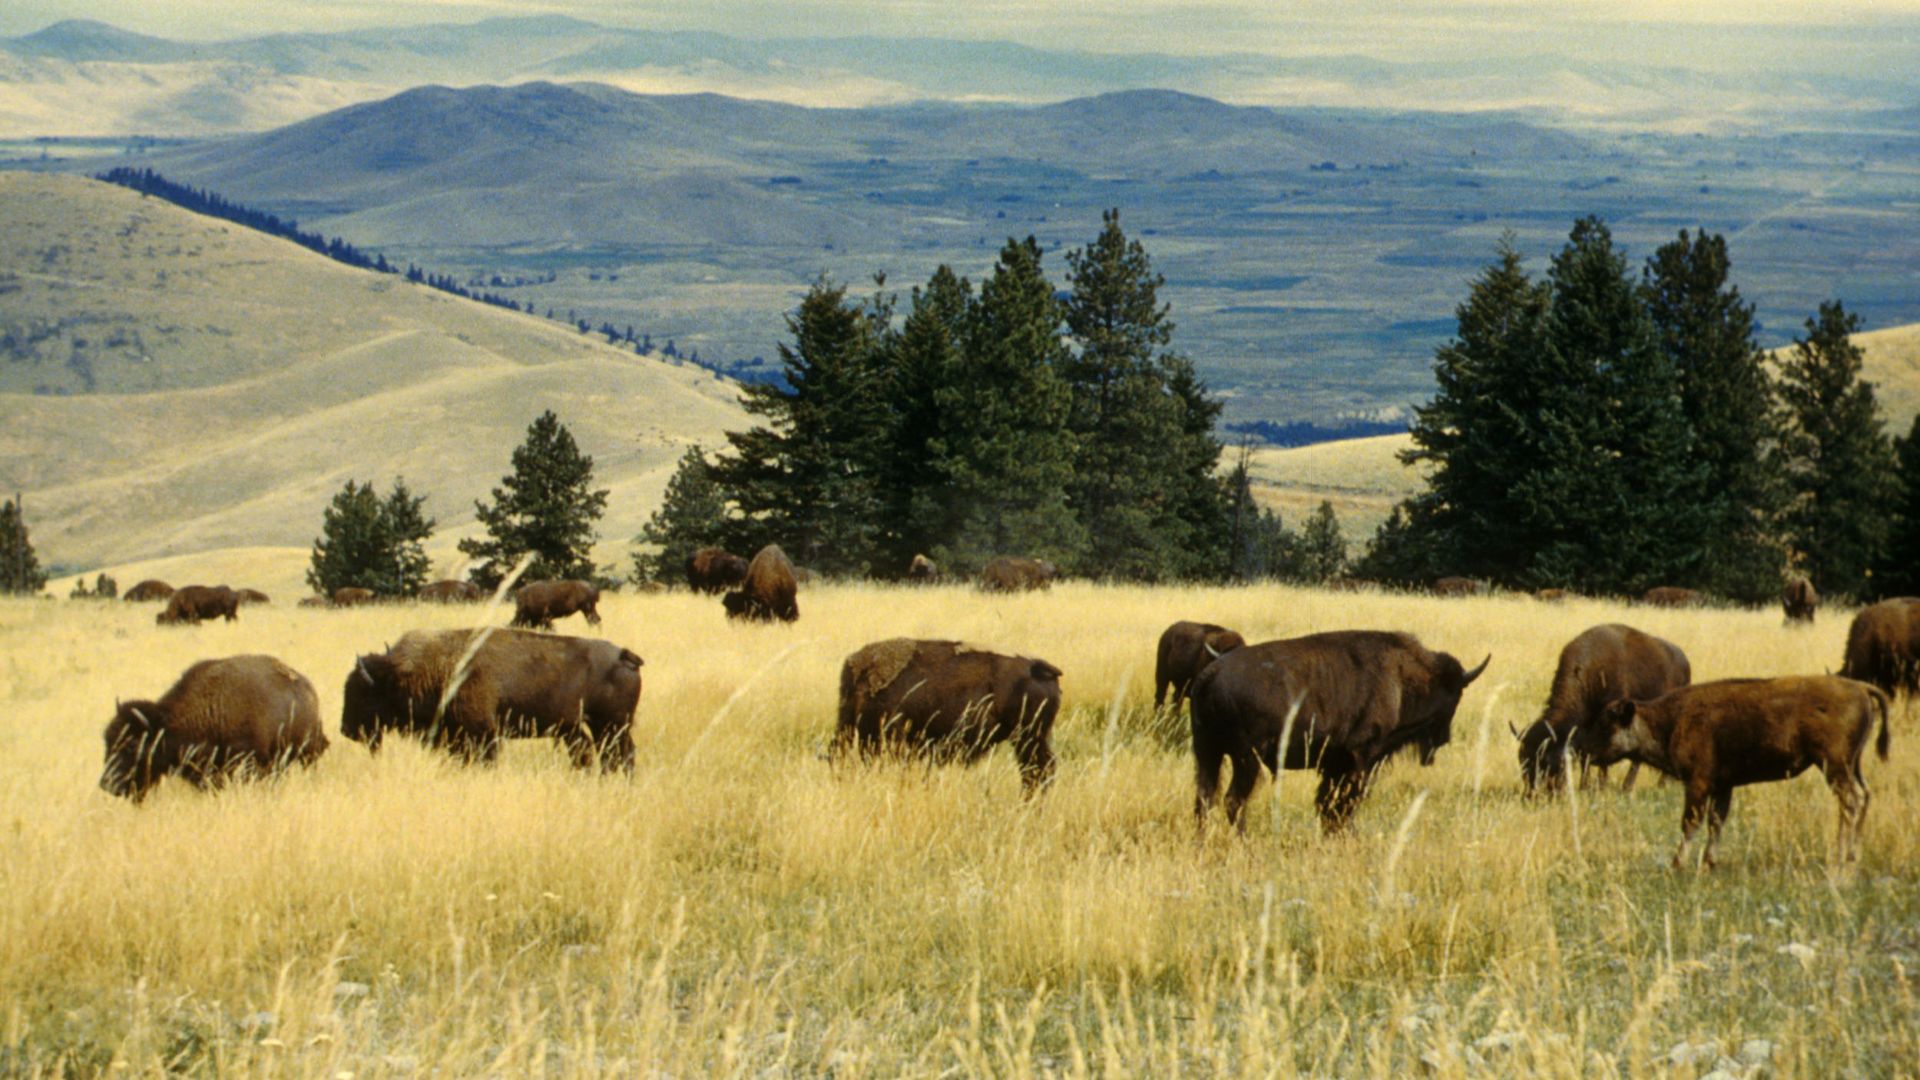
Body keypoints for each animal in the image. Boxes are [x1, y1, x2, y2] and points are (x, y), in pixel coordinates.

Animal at [342, 628, 642, 771]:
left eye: (362, 694)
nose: (345, 730)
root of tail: (624, 655)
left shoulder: (484, 734)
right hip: (588, 728)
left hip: (612, 725)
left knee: (619, 754)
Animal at [1191, 630, 1489, 833]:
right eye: (1456, 694)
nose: (1444, 738)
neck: (1402, 678)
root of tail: (1210, 675)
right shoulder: (1360, 759)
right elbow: (1343, 804)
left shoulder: (1334, 765)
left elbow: (1327, 805)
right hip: (1246, 760)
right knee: (1233, 800)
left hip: (1208, 754)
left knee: (1205, 798)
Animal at [1514, 624, 1689, 796]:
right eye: (1522, 759)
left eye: (1548, 762)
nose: (1531, 795)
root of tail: (1683, 660)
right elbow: (1585, 756)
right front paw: (1584, 787)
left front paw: (1599, 787)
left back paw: (1646, 786)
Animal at [1573, 676, 1889, 868]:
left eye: (1606, 724)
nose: (1582, 749)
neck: (1672, 720)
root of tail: (1860, 687)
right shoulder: (1723, 786)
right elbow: (1716, 821)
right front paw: (1709, 863)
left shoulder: (1698, 784)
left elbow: (1691, 822)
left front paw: (1678, 864)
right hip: (1853, 765)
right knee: (1866, 796)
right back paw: (1852, 854)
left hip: (1834, 767)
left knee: (1851, 802)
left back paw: (1840, 855)